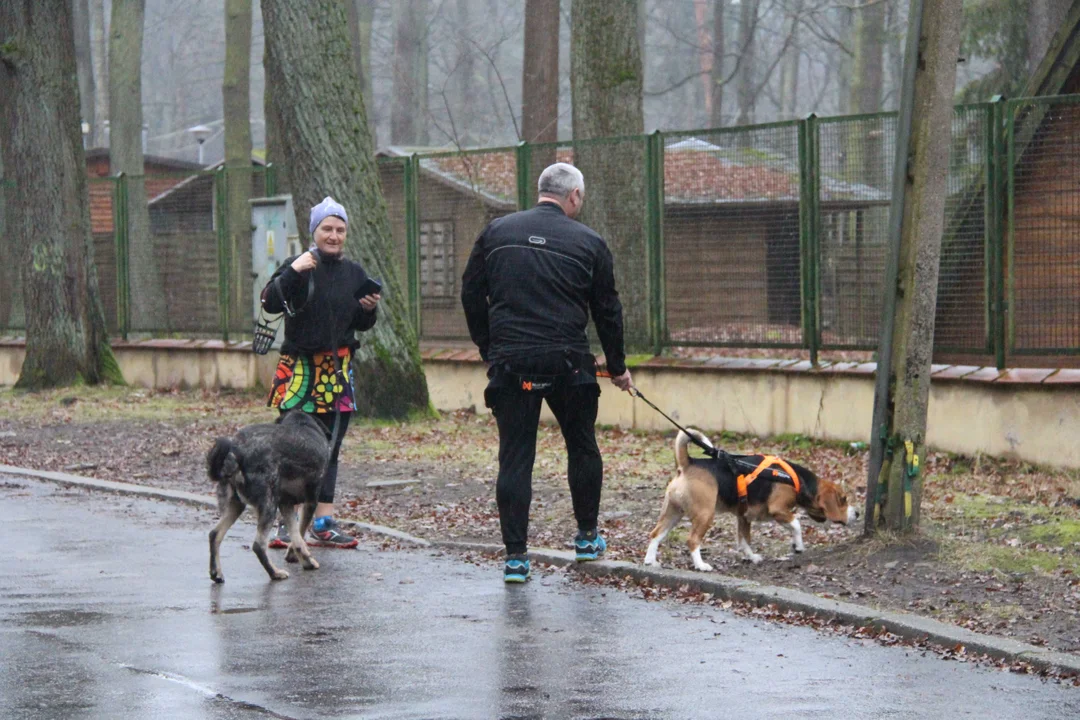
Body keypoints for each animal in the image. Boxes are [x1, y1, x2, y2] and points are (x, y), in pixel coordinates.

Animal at [206, 408, 328, 582]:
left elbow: (296, 536)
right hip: (269, 506)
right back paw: (275, 573)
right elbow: (300, 531)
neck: (301, 422)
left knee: (214, 534)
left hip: (236, 505)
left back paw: (216, 573)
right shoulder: (310, 501)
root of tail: (236, 451)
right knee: (258, 545)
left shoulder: (286, 504)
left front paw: (302, 560)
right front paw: (303, 559)